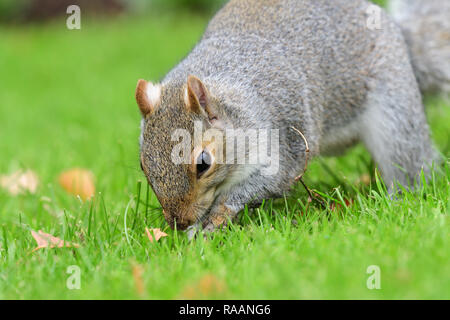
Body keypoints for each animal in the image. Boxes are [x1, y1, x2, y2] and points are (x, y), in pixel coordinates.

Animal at [136, 0, 440, 230]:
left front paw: (218, 216)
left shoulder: (285, 134)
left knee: (412, 160)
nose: (179, 222)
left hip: (394, 111)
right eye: (143, 164)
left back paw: (402, 198)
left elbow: (270, 181)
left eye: (203, 163)